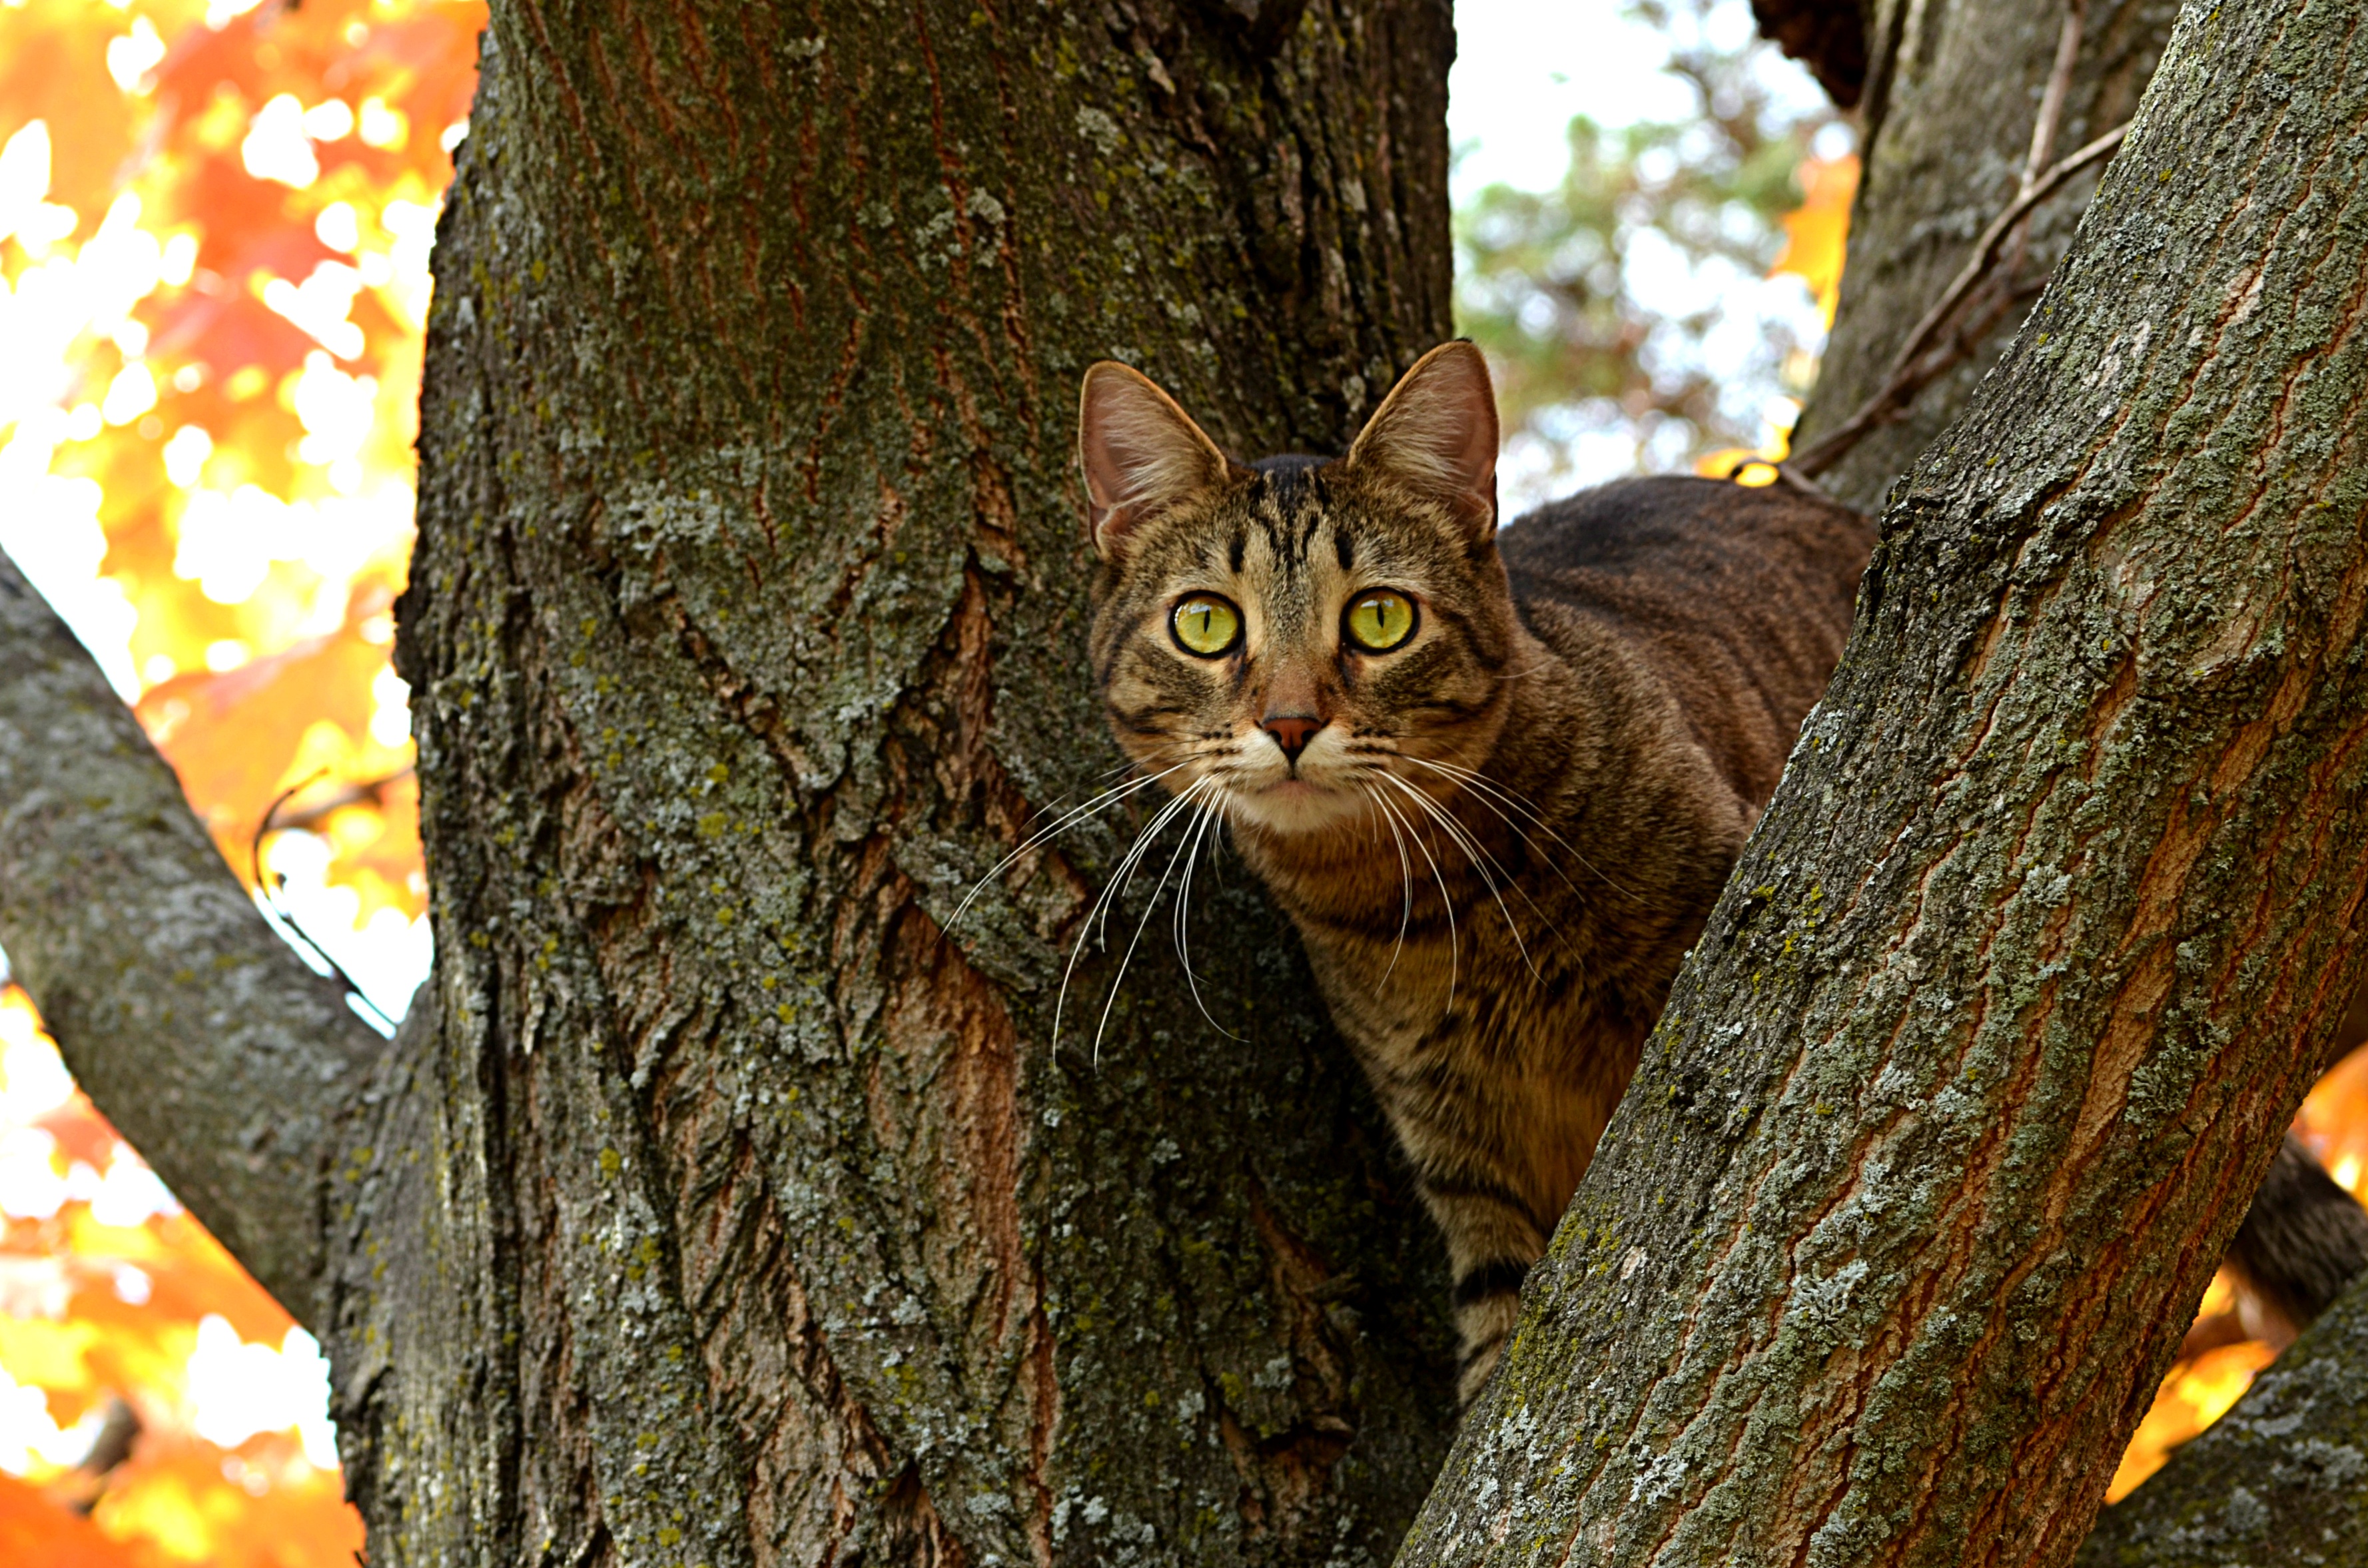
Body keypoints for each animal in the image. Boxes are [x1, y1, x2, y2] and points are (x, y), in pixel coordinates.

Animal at [1084, 343, 1875, 1402]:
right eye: (1205, 624)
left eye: (1380, 618)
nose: (1289, 722)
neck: (1433, 902)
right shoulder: (1465, 1154)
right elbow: (1499, 1344)